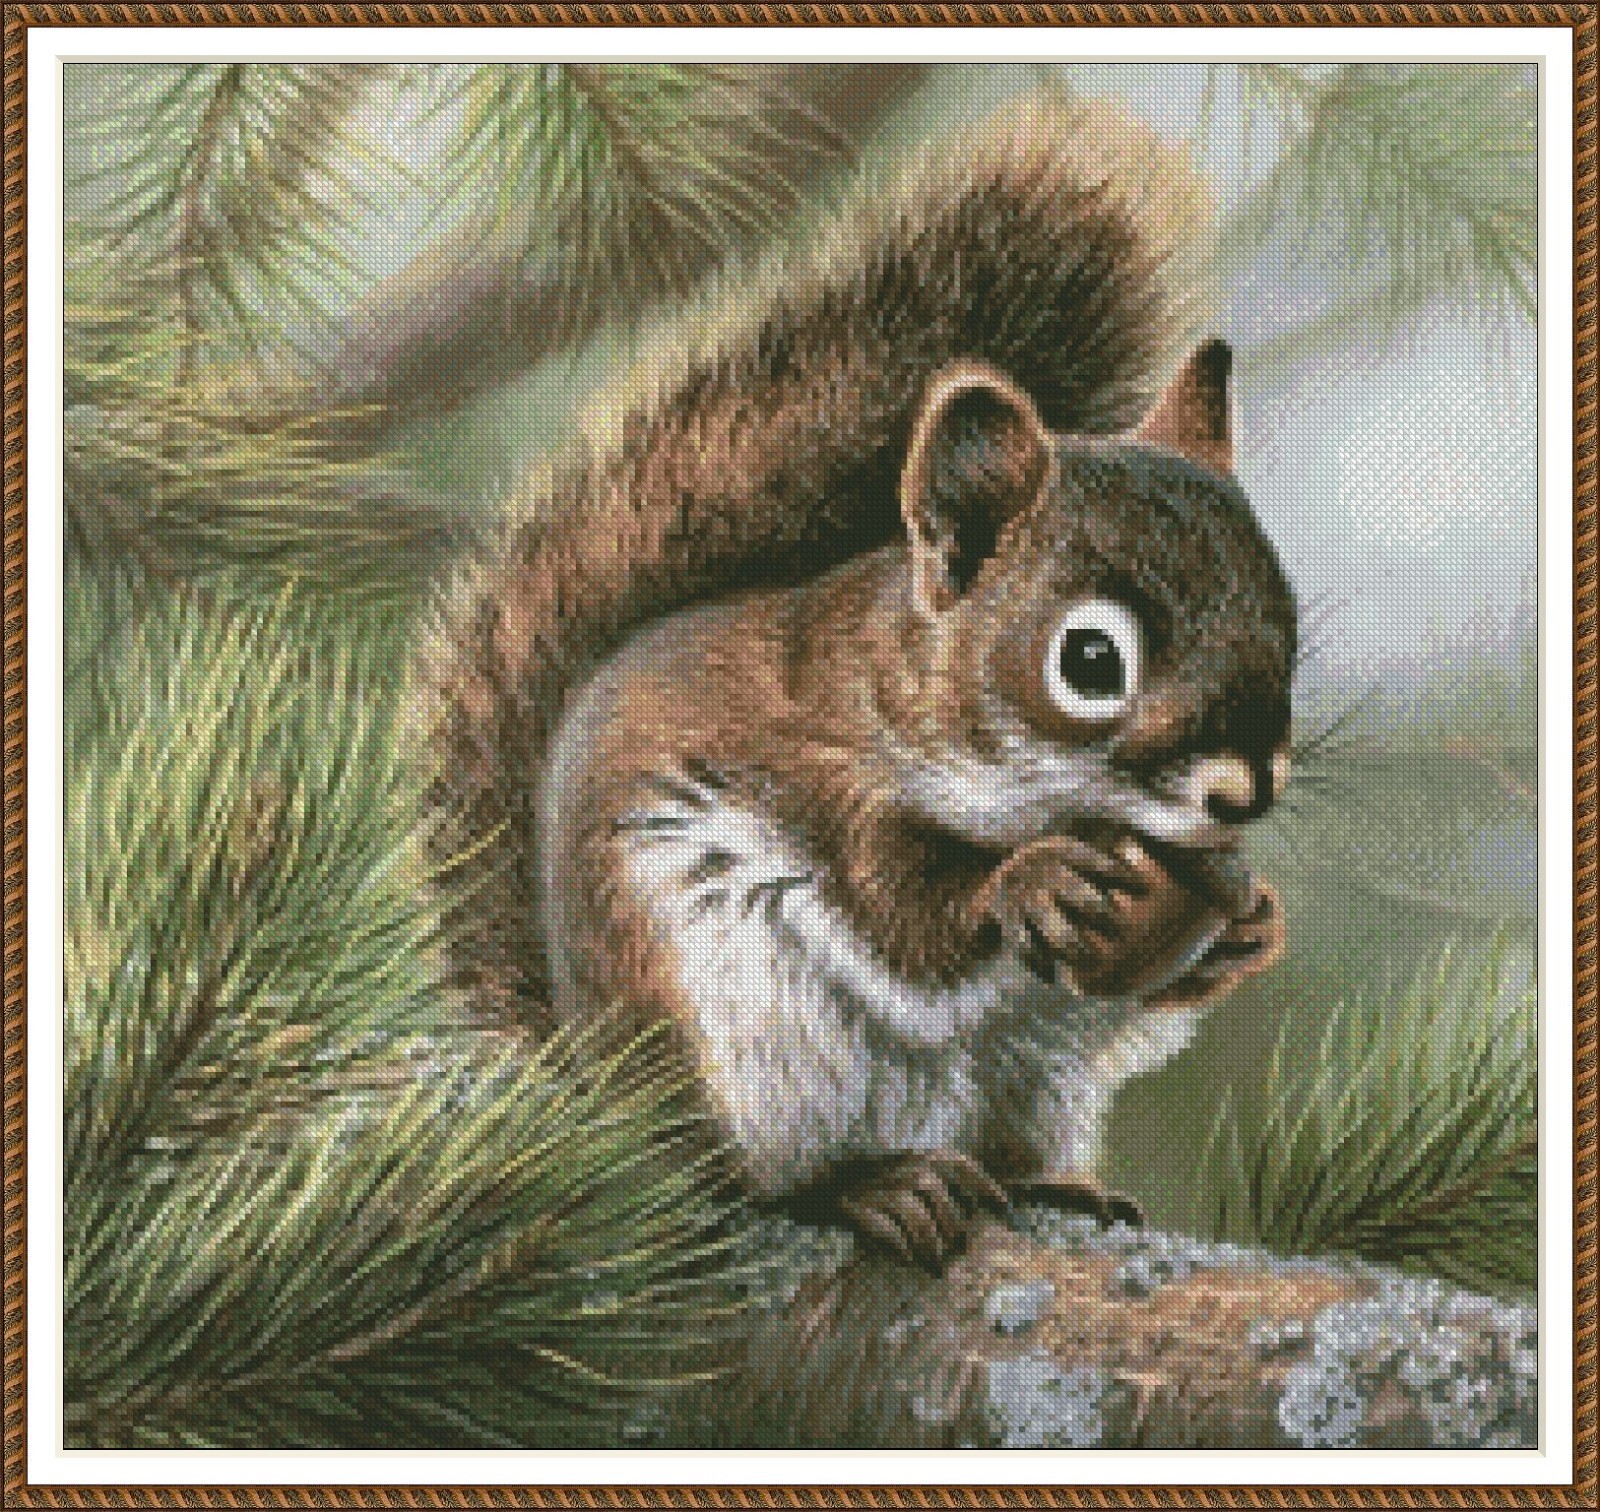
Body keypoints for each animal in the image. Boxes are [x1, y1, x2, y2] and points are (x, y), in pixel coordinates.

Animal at [418, 92, 1298, 1269]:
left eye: (1284, 614)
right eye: (1089, 661)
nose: (1243, 792)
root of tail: (600, 1095)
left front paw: (1252, 924)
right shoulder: (827, 782)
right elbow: (904, 925)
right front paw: (1031, 881)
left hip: (1033, 1081)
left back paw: (1049, 1185)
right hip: (737, 1039)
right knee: (747, 1186)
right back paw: (871, 1188)